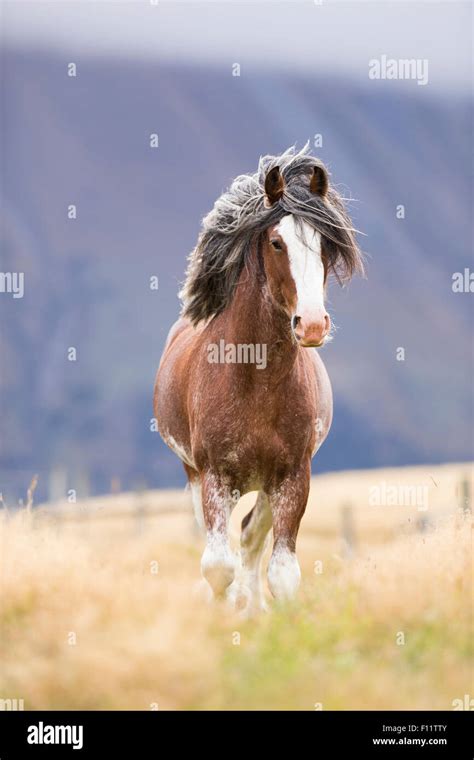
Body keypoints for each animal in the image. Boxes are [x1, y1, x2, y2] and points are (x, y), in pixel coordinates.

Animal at [154, 145, 362, 616]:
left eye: (325, 243)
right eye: (276, 241)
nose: (312, 324)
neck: (257, 382)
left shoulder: (293, 476)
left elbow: (281, 572)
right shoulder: (214, 475)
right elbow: (217, 566)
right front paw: (224, 611)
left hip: (266, 485)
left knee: (250, 536)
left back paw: (251, 606)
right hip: (197, 476)